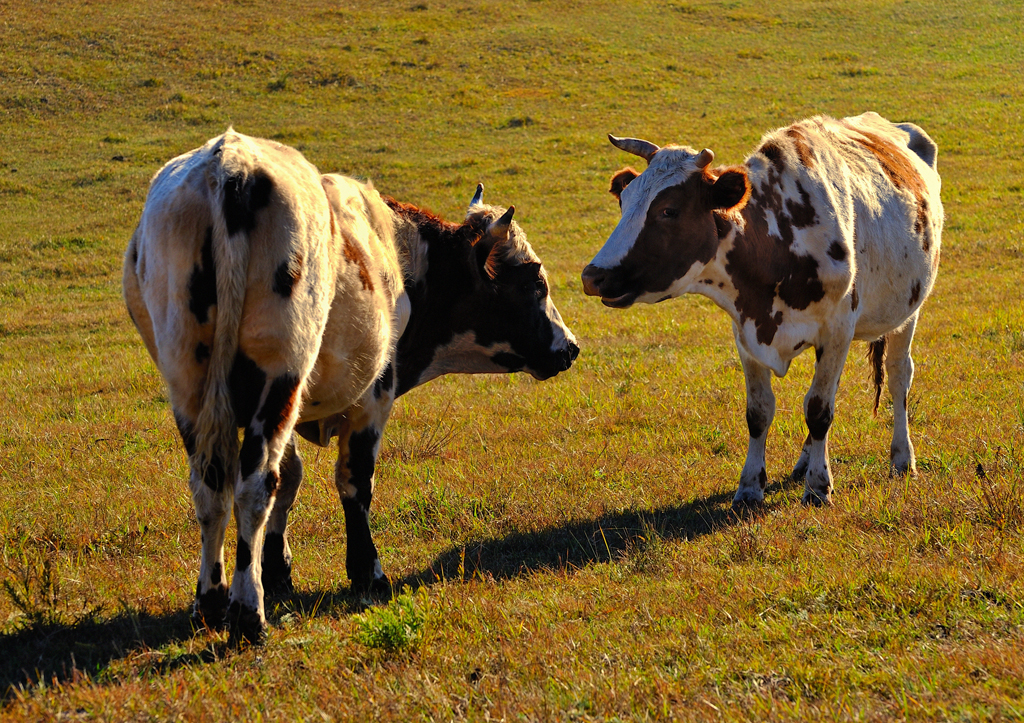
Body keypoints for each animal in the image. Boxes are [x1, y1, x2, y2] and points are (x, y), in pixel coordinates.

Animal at [121, 131, 577, 643]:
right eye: (535, 283)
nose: (570, 347)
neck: (396, 254)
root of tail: (232, 160)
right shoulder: (374, 395)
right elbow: (354, 483)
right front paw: (367, 572)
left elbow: (292, 478)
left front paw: (277, 569)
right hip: (279, 373)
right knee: (254, 484)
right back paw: (246, 613)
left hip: (190, 385)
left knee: (211, 484)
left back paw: (212, 601)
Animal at [585, 111, 942, 507]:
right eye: (624, 201)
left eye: (668, 210)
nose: (593, 276)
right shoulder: (746, 332)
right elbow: (759, 412)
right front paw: (750, 486)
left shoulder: (837, 330)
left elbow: (819, 411)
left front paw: (819, 486)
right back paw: (804, 462)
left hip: (908, 313)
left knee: (898, 376)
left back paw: (902, 457)